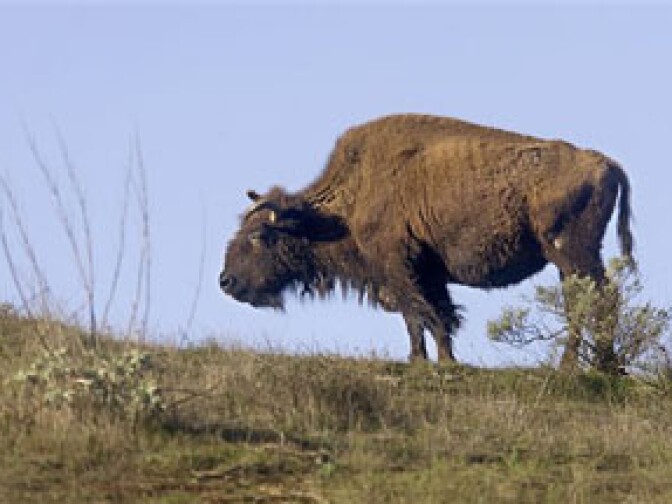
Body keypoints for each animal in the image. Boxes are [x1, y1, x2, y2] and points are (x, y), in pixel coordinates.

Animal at [220, 114, 633, 370]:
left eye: (260, 236)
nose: (226, 281)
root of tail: (607, 164)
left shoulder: (397, 267)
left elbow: (419, 313)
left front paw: (431, 361)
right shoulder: (425, 272)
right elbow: (433, 314)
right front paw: (435, 358)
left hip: (573, 254)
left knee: (599, 298)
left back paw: (590, 366)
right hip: (568, 262)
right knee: (582, 302)